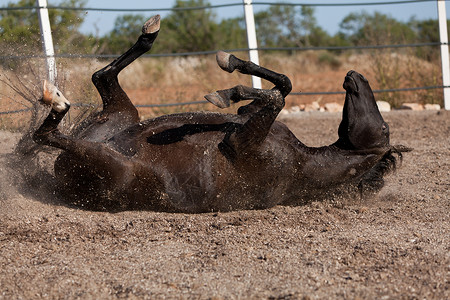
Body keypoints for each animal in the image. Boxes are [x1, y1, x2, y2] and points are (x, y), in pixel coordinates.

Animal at [31, 15, 412, 212]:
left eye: (385, 129)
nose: (355, 76)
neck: (304, 162)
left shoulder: (242, 144)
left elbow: (277, 98)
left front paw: (228, 89)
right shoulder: (248, 120)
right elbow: (282, 87)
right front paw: (231, 75)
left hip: (112, 164)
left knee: (47, 133)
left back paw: (57, 100)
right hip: (122, 116)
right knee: (102, 76)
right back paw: (149, 32)